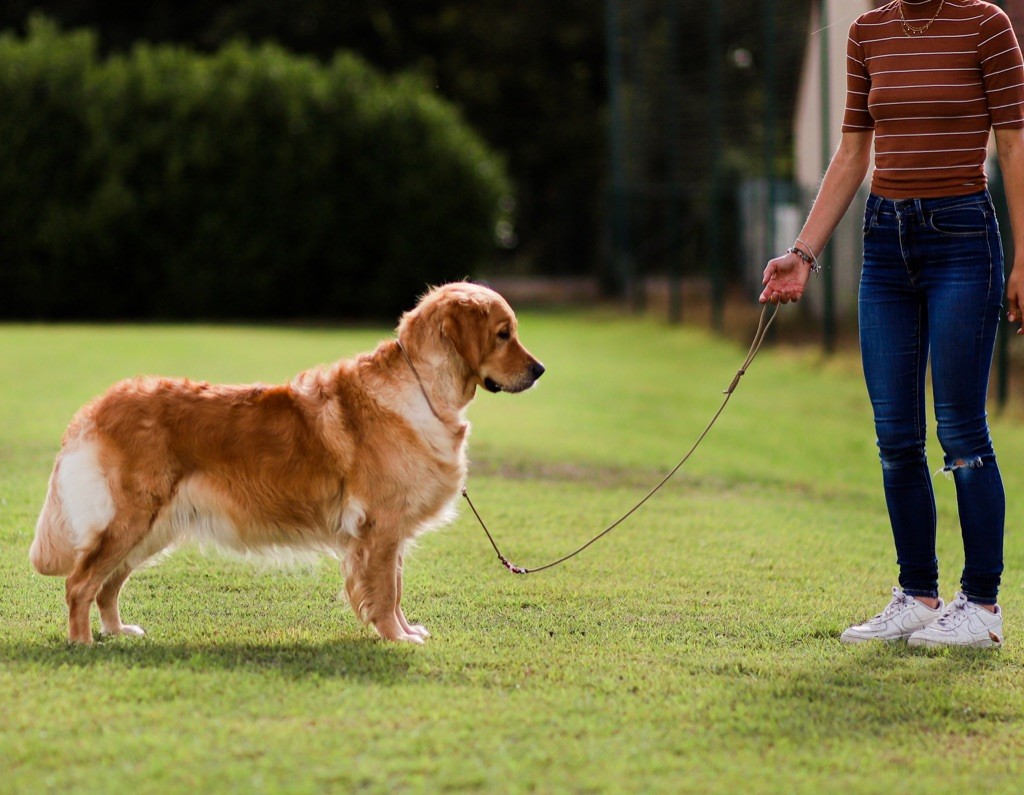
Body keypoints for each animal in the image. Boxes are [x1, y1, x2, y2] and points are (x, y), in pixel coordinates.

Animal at [29, 282, 544, 643]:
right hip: (131, 519)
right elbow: (386, 590)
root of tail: (96, 407)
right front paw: (396, 637)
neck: (422, 387)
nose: (540, 370)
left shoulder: (389, 531)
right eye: (504, 335)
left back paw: (118, 632)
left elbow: (394, 587)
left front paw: (404, 630)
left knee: (106, 585)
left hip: (151, 527)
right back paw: (82, 643)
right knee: (80, 583)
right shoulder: (380, 526)